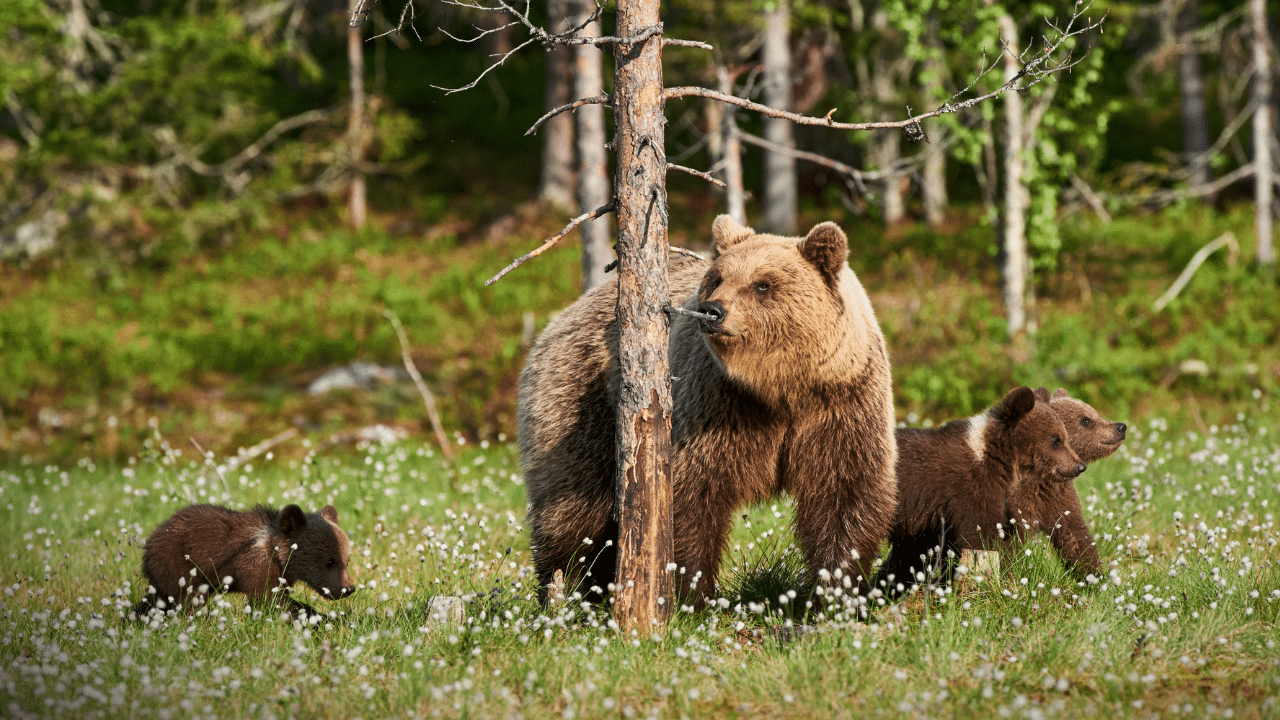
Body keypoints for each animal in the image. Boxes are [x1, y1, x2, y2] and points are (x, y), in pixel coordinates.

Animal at [133, 504, 356, 618]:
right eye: (330, 561)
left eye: (347, 559)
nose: (348, 589)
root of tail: (150, 539)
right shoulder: (255, 565)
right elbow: (268, 597)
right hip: (177, 565)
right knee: (187, 599)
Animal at [518, 214, 897, 609]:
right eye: (717, 278)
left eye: (762, 284)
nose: (712, 310)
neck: (780, 389)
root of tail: (567, 312)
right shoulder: (715, 404)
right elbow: (692, 493)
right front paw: (692, 596)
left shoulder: (840, 405)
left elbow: (845, 492)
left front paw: (835, 592)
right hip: (581, 403)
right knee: (573, 507)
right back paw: (565, 590)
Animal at [873, 386, 1086, 598]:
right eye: (1056, 439)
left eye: (1064, 437)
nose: (1080, 466)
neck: (994, 457)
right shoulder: (968, 491)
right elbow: (980, 536)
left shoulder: (931, 518)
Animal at [1003, 388, 1127, 579]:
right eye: (1085, 420)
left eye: (1095, 413)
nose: (1120, 427)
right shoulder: (1018, 499)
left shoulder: (1058, 497)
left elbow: (1075, 535)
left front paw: (1094, 576)